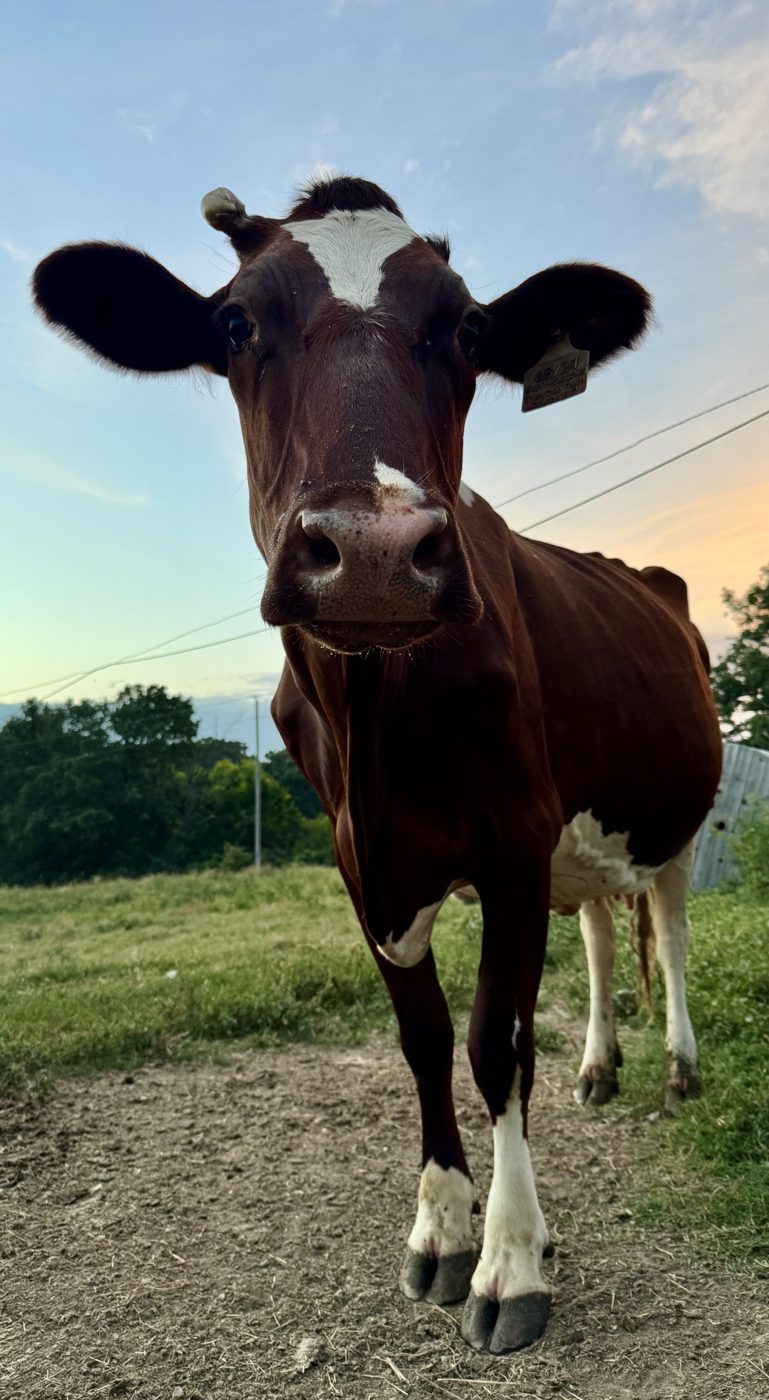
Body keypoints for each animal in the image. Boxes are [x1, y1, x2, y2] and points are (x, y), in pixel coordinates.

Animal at [33, 176, 722, 1355]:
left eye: (470, 328)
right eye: (234, 324)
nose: (373, 551)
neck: (374, 719)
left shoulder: (511, 842)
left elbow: (496, 1043)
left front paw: (509, 1261)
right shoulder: (364, 859)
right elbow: (422, 1036)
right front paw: (442, 1228)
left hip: (671, 813)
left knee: (666, 932)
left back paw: (674, 1066)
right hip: (579, 838)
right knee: (597, 931)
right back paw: (598, 1065)